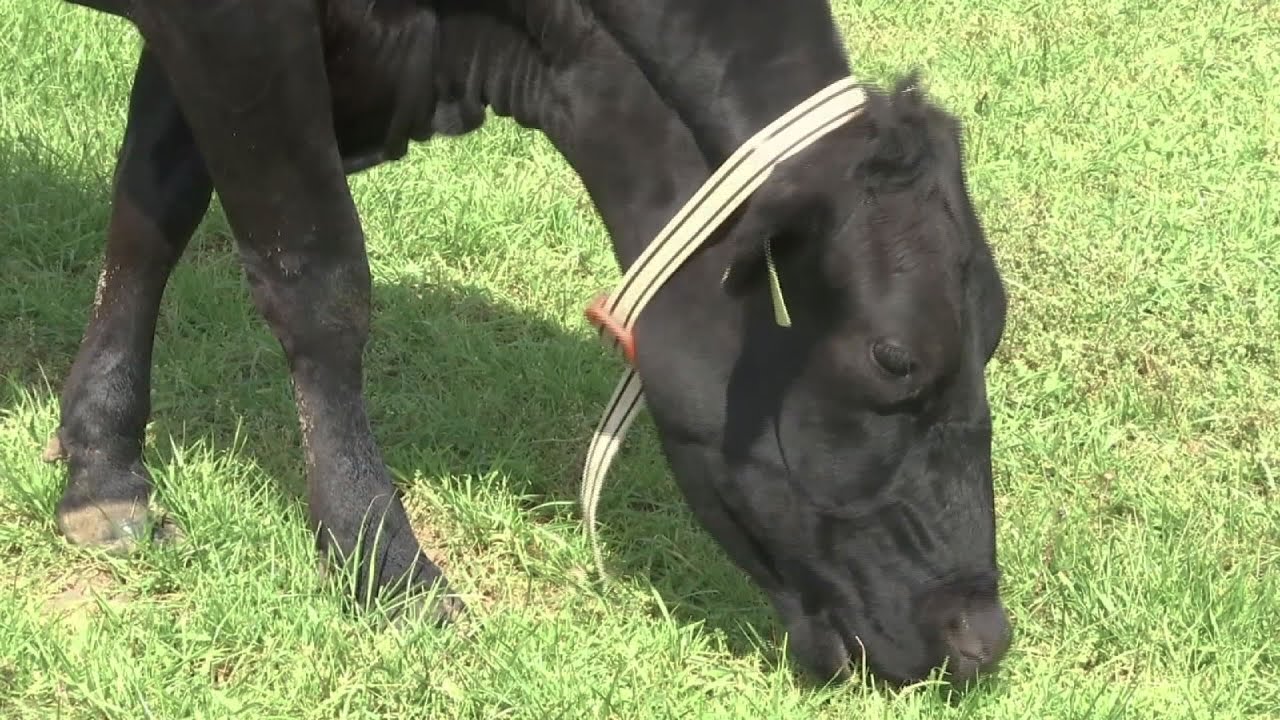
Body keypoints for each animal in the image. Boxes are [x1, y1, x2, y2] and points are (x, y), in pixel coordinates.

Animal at [45, 0, 1012, 688]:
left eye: (995, 327)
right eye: (895, 356)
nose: (981, 638)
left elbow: (151, 213)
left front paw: (102, 468)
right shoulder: (237, 31)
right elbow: (317, 279)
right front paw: (386, 561)